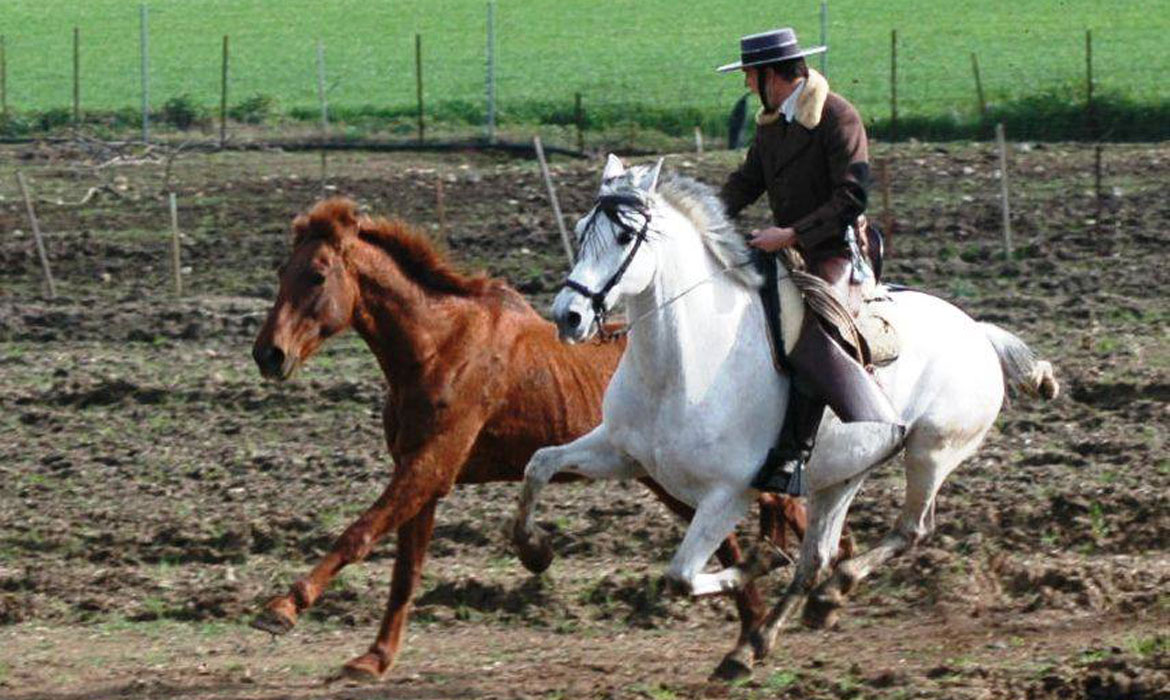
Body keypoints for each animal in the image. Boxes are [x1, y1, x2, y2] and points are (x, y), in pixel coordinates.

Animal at [246, 200, 814, 683]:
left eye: (317, 274)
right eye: (281, 271)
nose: (268, 355)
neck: (437, 347)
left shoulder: (429, 467)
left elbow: (358, 534)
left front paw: (282, 609)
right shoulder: (422, 475)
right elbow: (406, 571)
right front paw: (374, 658)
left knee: (783, 514)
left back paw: (806, 604)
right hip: (667, 480)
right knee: (737, 540)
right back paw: (751, 638)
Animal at [510, 154, 1053, 678]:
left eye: (625, 236)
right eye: (581, 229)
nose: (569, 316)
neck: (683, 364)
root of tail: (979, 332)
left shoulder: (730, 493)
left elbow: (681, 576)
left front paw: (760, 560)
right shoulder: (620, 452)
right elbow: (538, 464)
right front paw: (534, 550)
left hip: (930, 453)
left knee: (910, 530)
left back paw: (822, 598)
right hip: (845, 472)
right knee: (817, 558)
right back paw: (766, 638)